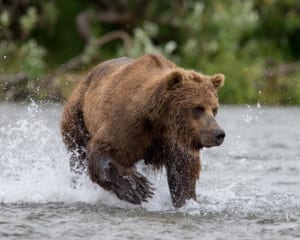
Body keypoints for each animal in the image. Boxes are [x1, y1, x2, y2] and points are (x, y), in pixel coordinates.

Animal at [61, 53, 225, 207]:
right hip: (78, 115)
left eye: (214, 109)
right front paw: (138, 188)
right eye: (198, 108)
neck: (158, 119)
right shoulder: (129, 125)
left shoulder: (174, 139)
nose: (219, 134)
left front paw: (185, 200)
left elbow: (183, 171)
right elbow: (104, 149)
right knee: (77, 155)